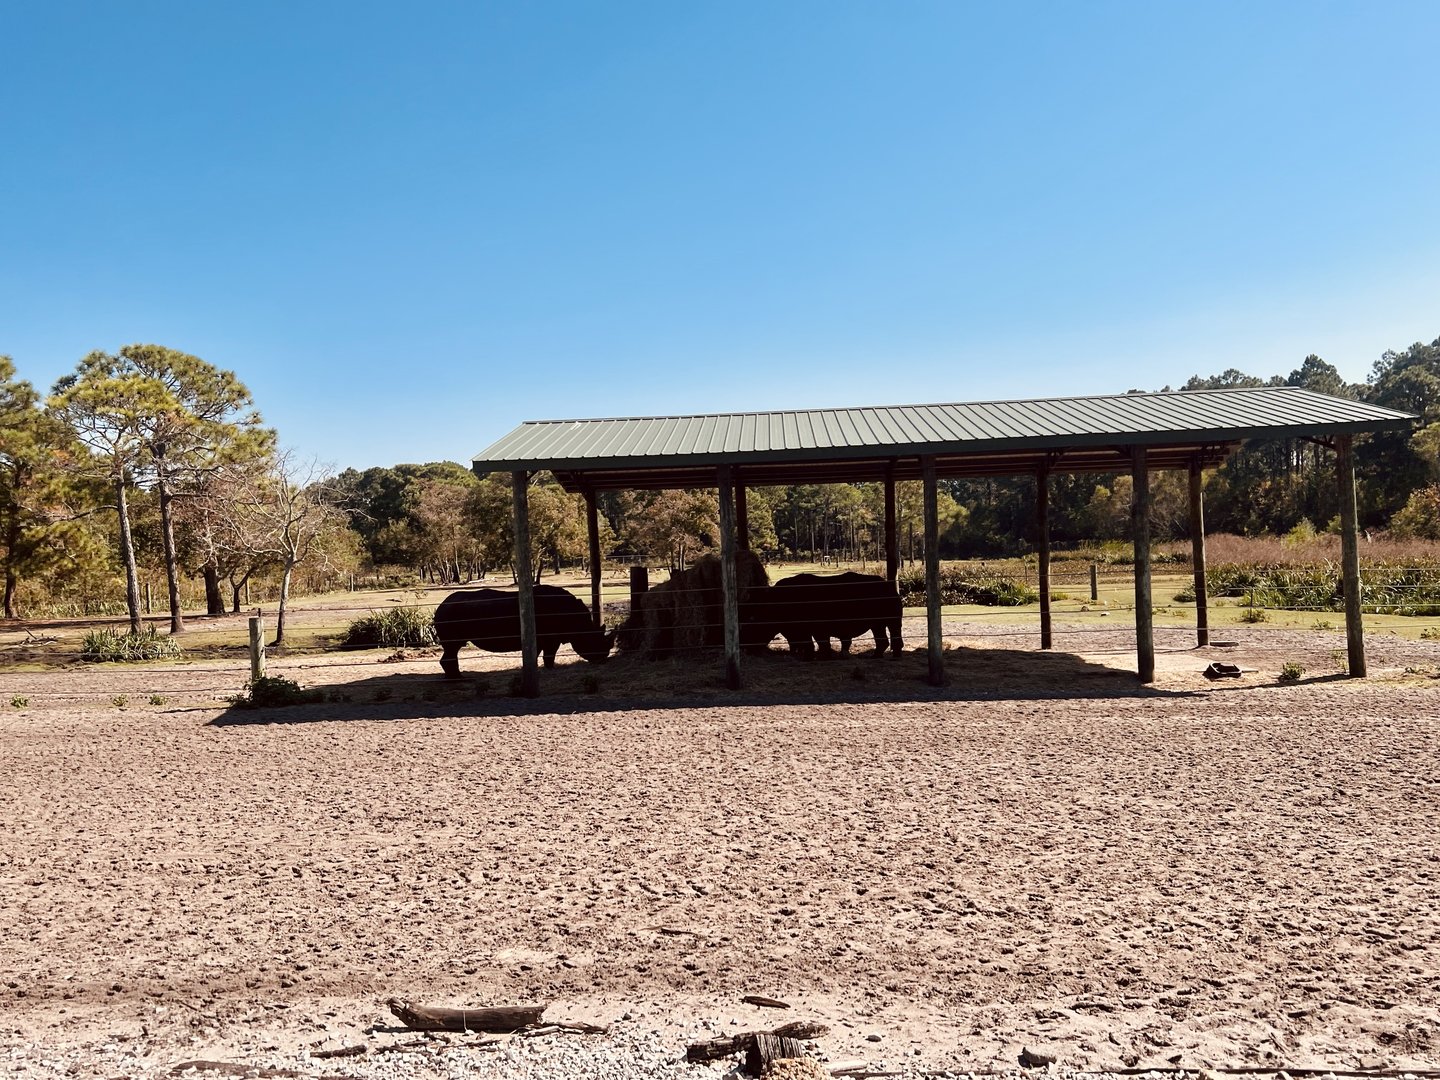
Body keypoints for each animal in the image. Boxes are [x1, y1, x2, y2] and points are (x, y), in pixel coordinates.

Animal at [433, 585, 614, 677]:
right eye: (594, 642)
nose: (603, 660)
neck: (580, 623)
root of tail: (440, 605)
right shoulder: (550, 638)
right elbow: (548, 656)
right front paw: (549, 670)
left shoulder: (544, 639)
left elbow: (537, 655)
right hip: (449, 614)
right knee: (452, 647)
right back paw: (459, 678)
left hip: (450, 612)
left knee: (452, 649)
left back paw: (456, 677)